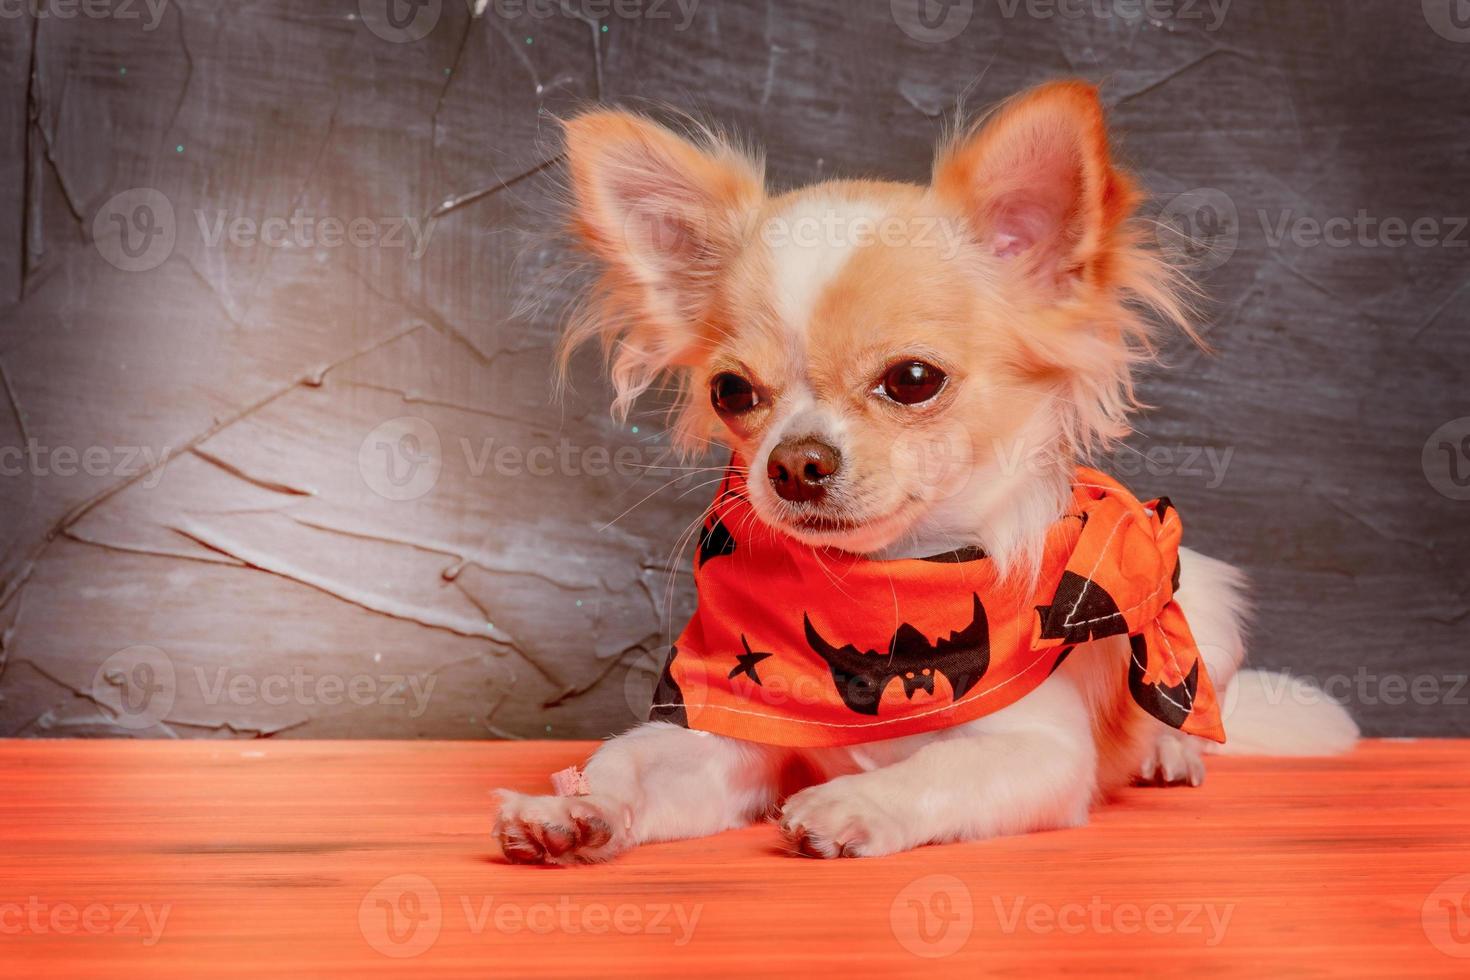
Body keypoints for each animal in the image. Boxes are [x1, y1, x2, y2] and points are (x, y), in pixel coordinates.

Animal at [493, 84, 1352, 863]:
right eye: (731, 392)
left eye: (911, 380)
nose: (794, 461)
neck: (882, 583)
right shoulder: (732, 739)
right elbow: (632, 760)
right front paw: (573, 807)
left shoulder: (1037, 754)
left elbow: (938, 769)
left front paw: (853, 803)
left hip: (1200, 597)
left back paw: (1170, 750)